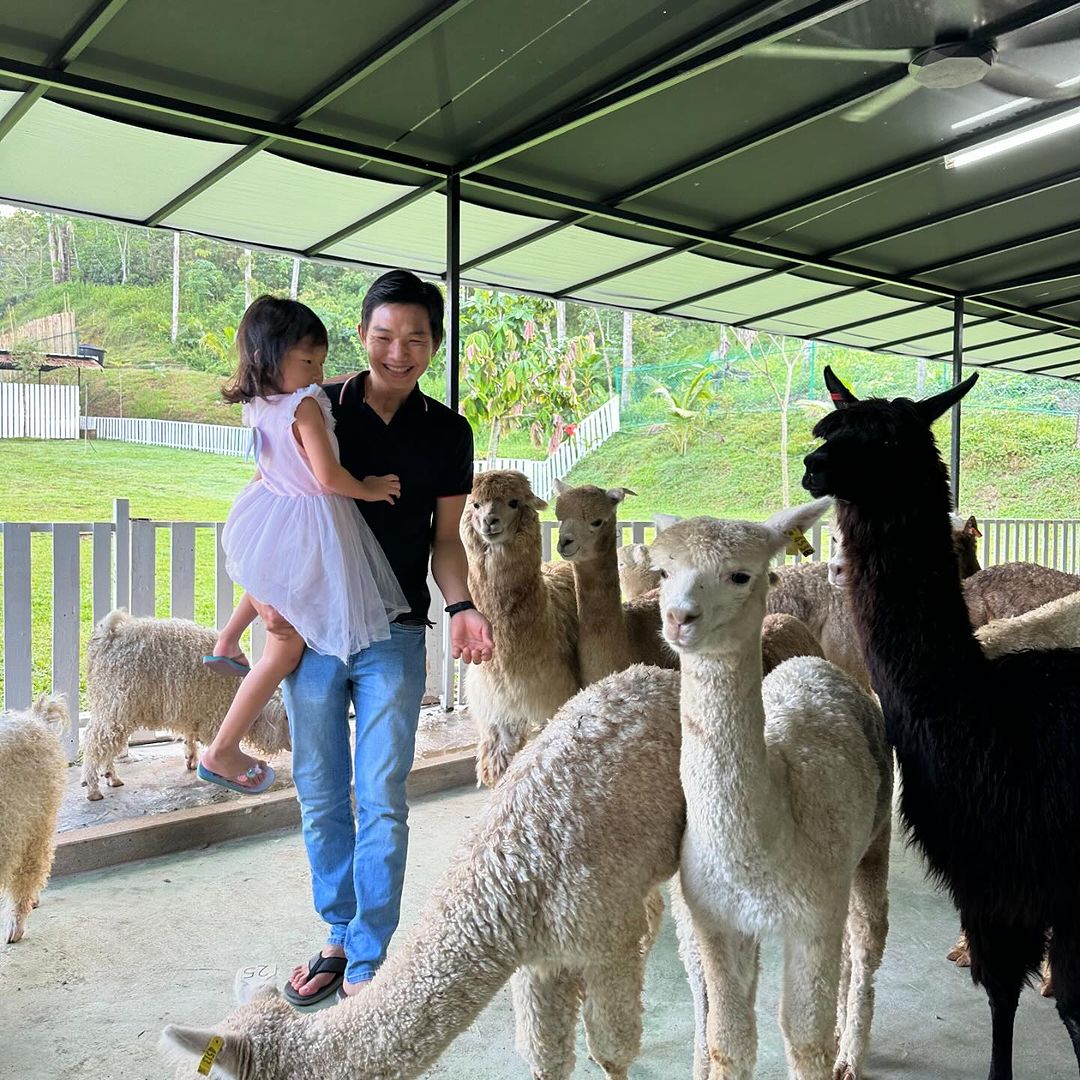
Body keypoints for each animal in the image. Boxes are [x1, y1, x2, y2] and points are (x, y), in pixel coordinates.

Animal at [82, 609, 291, 803]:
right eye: (287, 720)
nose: (292, 747)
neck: (239, 687)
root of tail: (107, 636)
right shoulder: (216, 712)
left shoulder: (192, 707)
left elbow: (189, 734)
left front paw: (191, 759)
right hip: (116, 701)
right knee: (95, 743)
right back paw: (93, 788)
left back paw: (111, 777)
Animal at [656, 503, 894, 1080]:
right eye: (662, 571)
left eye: (741, 575)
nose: (678, 618)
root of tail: (820, 667)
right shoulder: (717, 922)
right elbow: (730, 1040)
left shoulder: (812, 914)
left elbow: (805, 1041)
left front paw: (831, 1050)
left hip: (873, 843)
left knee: (866, 941)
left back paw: (851, 1052)